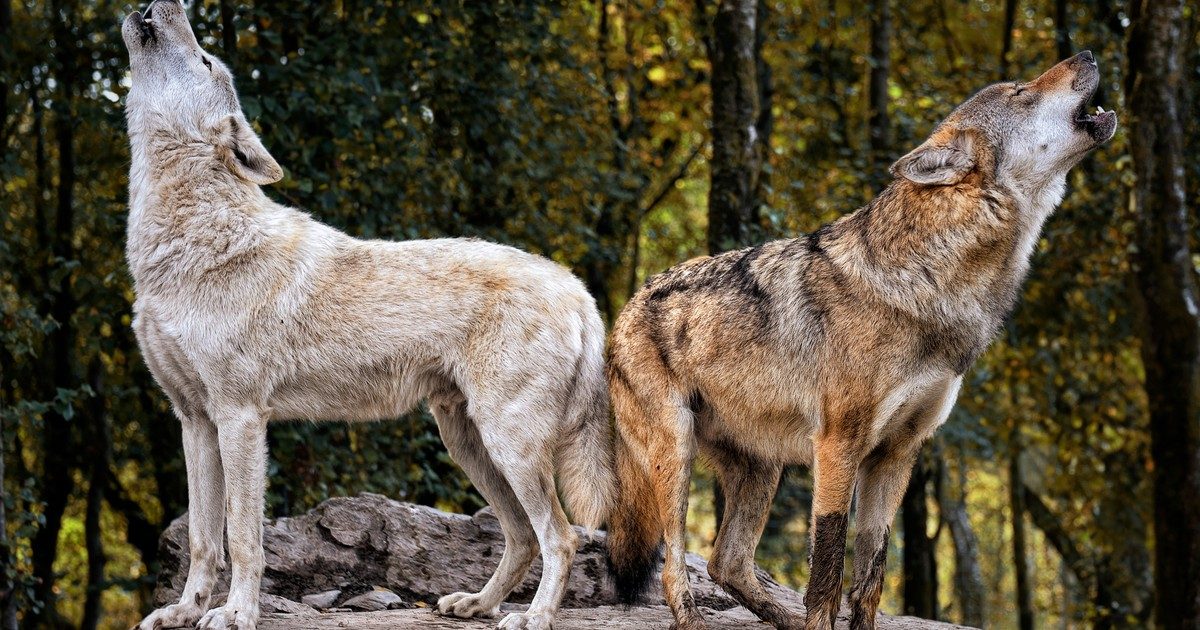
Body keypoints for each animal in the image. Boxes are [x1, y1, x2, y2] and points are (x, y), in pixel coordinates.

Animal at [120, 1, 614, 628]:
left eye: (205, 59)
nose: (169, 5)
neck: (189, 242)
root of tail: (578, 288)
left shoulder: (240, 417)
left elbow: (243, 539)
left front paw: (236, 614)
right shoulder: (194, 421)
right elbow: (205, 540)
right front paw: (186, 611)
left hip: (509, 445)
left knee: (561, 537)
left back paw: (533, 617)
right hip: (467, 443)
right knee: (524, 536)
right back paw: (477, 604)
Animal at [604, 51, 1118, 624]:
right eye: (1021, 94)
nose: (1088, 54)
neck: (931, 279)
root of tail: (627, 304)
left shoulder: (898, 452)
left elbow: (872, 572)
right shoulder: (839, 445)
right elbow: (828, 569)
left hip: (763, 471)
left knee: (726, 563)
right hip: (677, 454)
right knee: (675, 567)